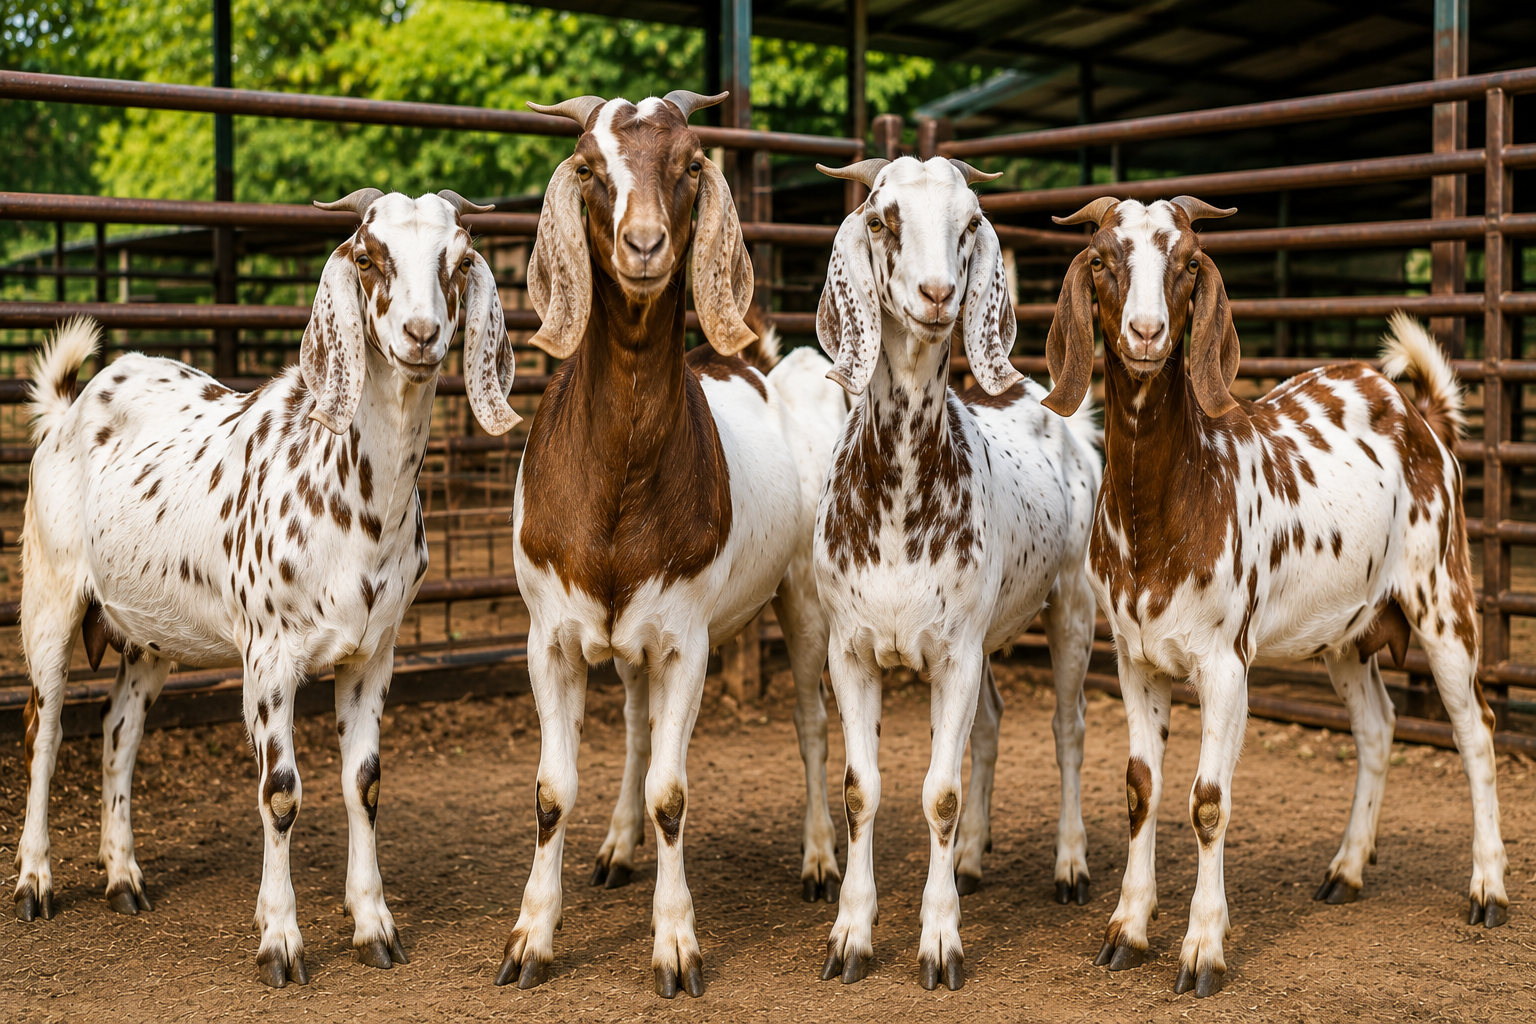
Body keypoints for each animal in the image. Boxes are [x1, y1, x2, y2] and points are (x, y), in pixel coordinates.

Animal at [14, 189, 518, 988]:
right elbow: (279, 793)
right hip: (50, 597)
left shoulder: (373, 654)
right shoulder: (270, 658)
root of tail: (71, 408)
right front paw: (280, 940)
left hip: (149, 637)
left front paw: (374, 926)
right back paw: (35, 882)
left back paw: (123, 877)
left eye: (460, 259)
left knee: (119, 731)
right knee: (46, 727)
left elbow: (365, 783)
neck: (356, 497)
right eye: (368, 256)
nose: (421, 333)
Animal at [498, 90, 848, 999]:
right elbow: (552, 789)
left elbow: (672, 791)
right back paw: (619, 848)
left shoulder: (687, 639)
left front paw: (677, 946)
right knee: (635, 721)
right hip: (625, 643)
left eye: (690, 163)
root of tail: (762, 366)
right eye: (589, 166)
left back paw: (819, 860)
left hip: (803, 598)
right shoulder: (550, 636)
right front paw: (530, 938)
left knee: (808, 719)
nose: (645, 245)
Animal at [811, 156, 1102, 991]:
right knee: (993, 724)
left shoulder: (956, 652)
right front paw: (851, 936)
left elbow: (937, 794)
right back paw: (972, 858)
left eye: (970, 221)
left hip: (1073, 606)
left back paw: (1070, 867)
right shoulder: (853, 649)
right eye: (882, 218)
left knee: (1068, 728)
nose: (938, 294)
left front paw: (940, 942)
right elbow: (861, 791)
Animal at [1042, 195, 1507, 998]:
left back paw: (1488, 889)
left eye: (1187, 262)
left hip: (1443, 597)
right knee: (1377, 726)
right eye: (1100, 259)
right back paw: (1346, 870)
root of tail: (1422, 418)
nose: (1146, 333)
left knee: (1475, 729)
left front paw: (1202, 948)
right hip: (1348, 632)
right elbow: (1140, 788)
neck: (1170, 499)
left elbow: (1208, 801)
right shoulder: (1136, 659)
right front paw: (1127, 928)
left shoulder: (1226, 663)